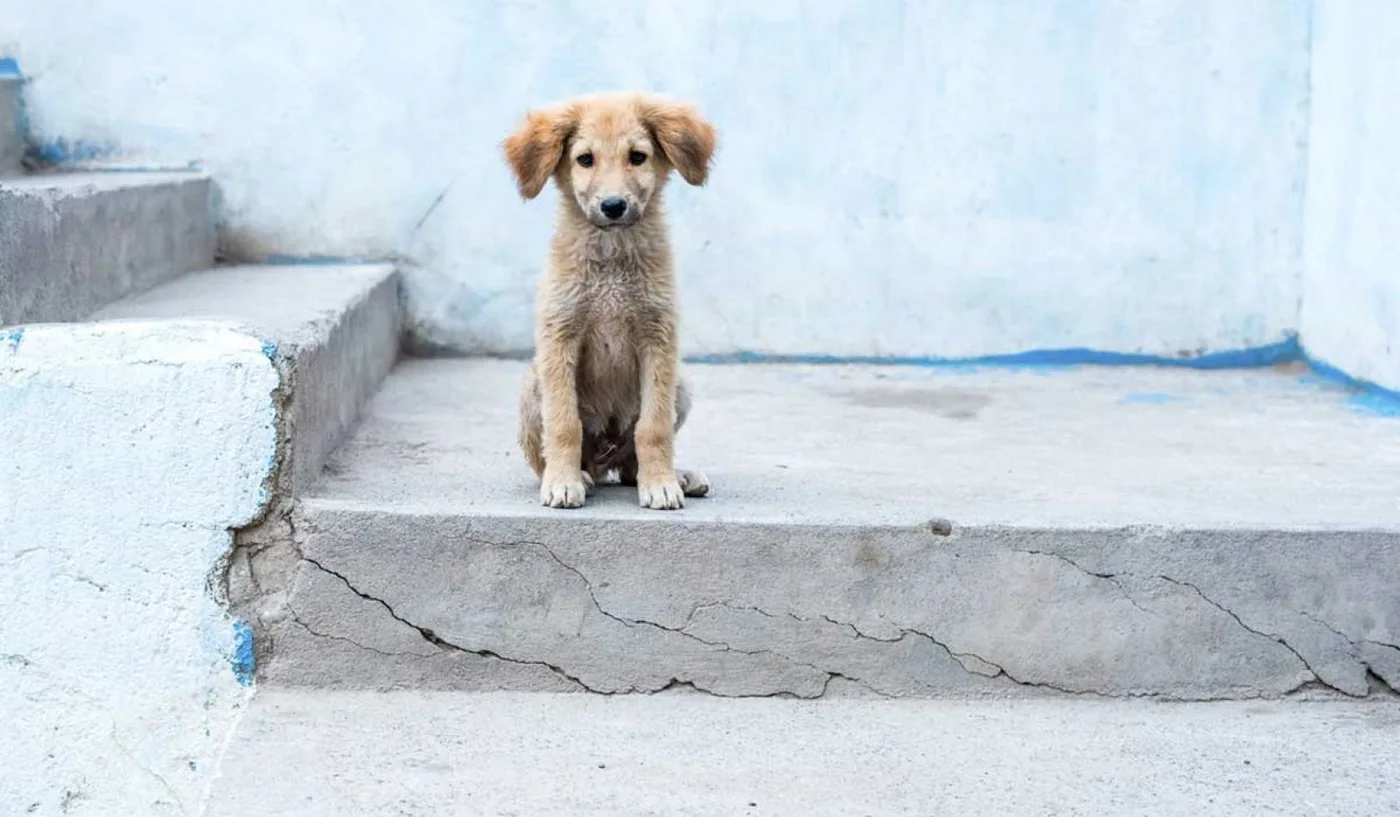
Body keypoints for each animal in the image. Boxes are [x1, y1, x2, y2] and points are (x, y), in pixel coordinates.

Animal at [504, 92, 716, 506]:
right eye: (585, 159)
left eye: (637, 156)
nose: (614, 205)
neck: (612, 260)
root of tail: (606, 459)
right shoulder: (560, 336)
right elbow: (564, 424)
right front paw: (563, 482)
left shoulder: (658, 339)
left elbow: (653, 427)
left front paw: (661, 484)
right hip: (530, 387)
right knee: (557, 459)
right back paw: (577, 475)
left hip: (680, 388)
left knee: (630, 464)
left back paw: (675, 476)